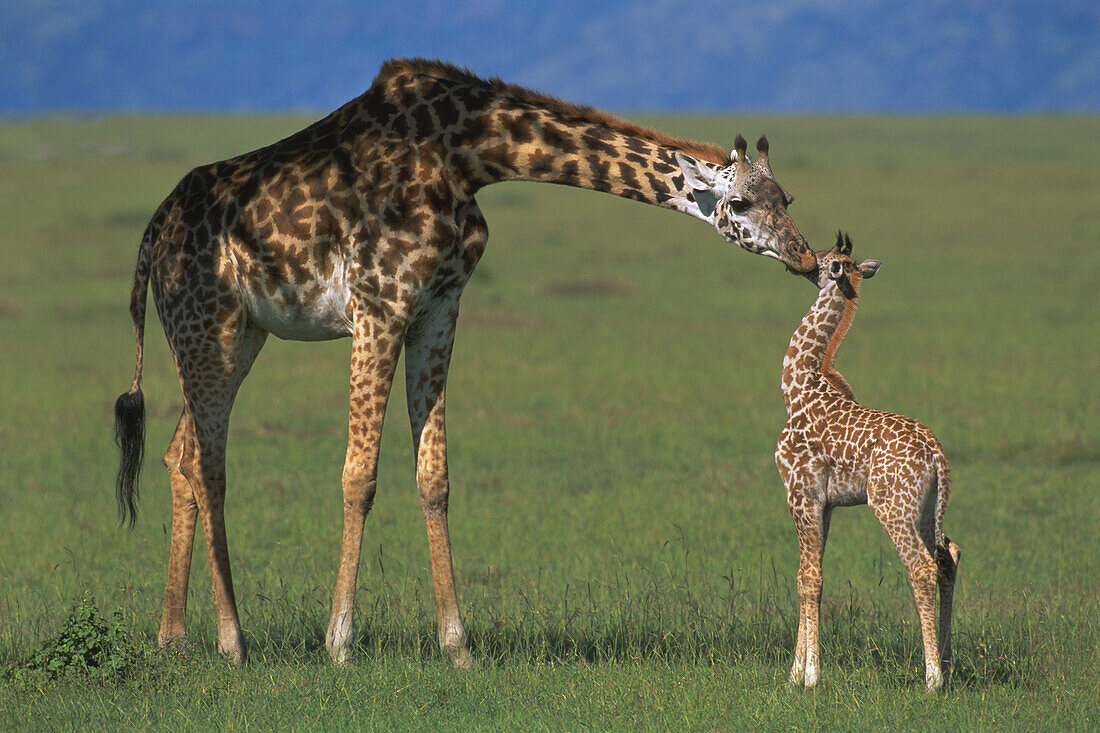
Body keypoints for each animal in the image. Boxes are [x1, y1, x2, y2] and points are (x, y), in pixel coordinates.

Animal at [113, 58, 818, 660]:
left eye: (787, 197)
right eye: (740, 203)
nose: (806, 257)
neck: (469, 156)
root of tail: (151, 236)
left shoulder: (439, 307)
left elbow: (435, 477)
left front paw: (458, 647)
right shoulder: (379, 305)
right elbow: (358, 476)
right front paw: (338, 644)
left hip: (240, 335)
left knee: (180, 453)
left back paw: (172, 638)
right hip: (206, 322)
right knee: (207, 464)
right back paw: (232, 641)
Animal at [774, 232, 963, 691]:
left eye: (820, 257)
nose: (795, 260)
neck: (798, 388)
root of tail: (937, 455)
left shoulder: (800, 494)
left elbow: (809, 579)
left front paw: (811, 677)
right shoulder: (824, 504)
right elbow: (808, 575)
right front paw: (793, 674)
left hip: (891, 505)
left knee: (922, 567)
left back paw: (932, 679)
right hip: (927, 507)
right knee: (948, 555)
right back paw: (948, 662)